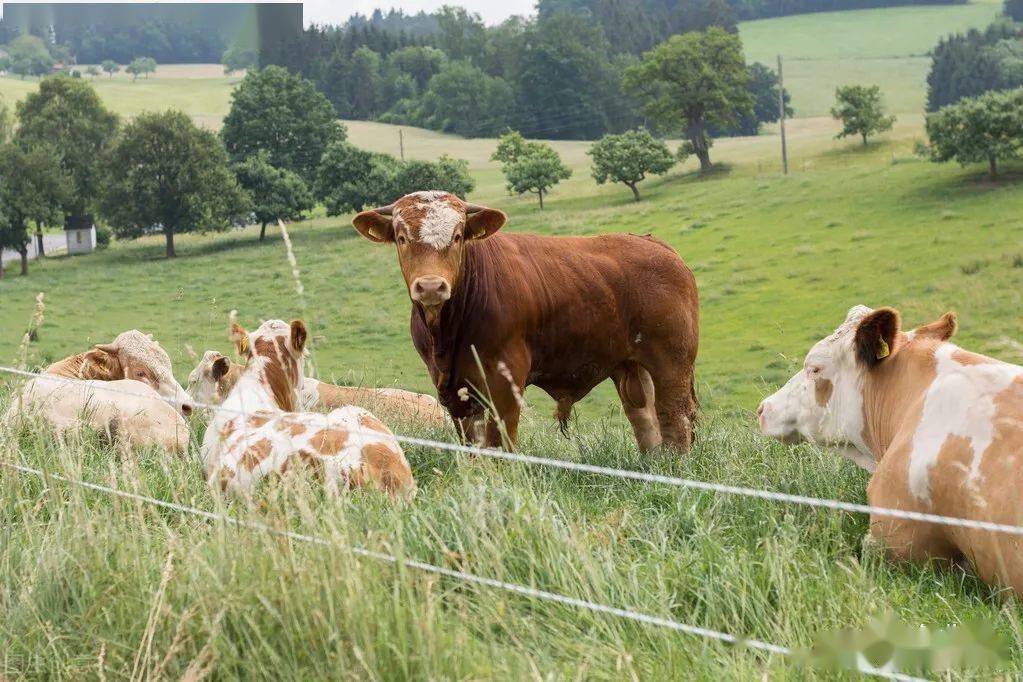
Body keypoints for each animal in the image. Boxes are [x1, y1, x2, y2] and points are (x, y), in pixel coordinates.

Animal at [356, 191, 699, 453]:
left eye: (457, 237)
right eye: (402, 238)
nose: (430, 286)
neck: (446, 334)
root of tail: (657, 246)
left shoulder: (505, 381)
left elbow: (499, 443)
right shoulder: (456, 389)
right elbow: (473, 444)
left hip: (672, 363)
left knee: (676, 417)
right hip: (630, 366)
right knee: (645, 418)